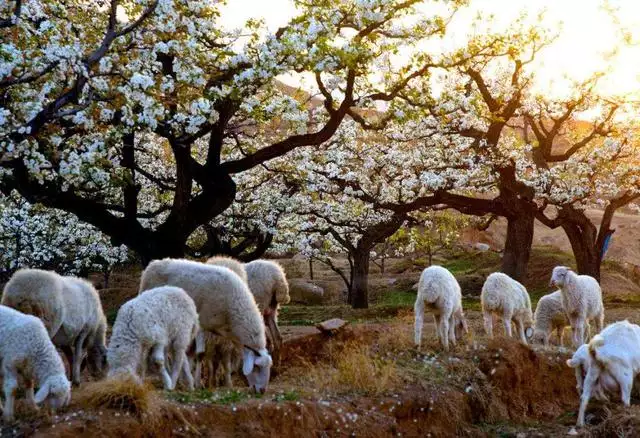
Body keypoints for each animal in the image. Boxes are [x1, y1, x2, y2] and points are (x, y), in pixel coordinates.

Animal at [139, 256, 272, 394]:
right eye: (256, 366)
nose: (262, 390)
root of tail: (154, 263)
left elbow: (223, 356)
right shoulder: (202, 324)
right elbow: (200, 354)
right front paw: (198, 383)